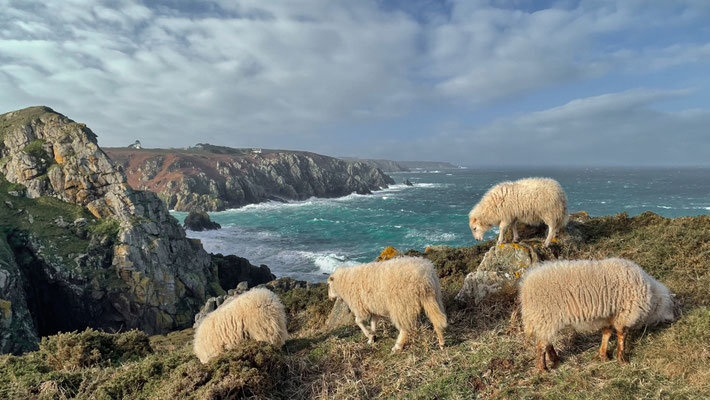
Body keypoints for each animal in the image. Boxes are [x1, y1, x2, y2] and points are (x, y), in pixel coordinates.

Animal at [520, 258, 675, 371]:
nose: (673, 319)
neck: (652, 296)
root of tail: (525, 286)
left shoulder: (608, 316)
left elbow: (606, 333)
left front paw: (603, 356)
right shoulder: (625, 313)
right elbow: (622, 335)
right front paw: (622, 359)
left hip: (546, 320)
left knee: (547, 342)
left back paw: (556, 361)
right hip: (546, 316)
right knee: (542, 344)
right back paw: (543, 369)